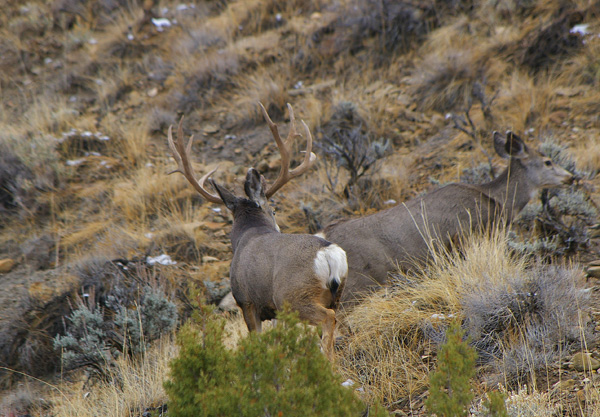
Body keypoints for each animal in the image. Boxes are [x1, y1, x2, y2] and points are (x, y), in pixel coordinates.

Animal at [168, 102, 346, 360]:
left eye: (274, 211)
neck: (248, 234)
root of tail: (329, 253)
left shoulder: (247, 303)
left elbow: (258, 342)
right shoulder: (274, 314)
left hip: (293, 297)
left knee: (327, 319)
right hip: (336, 295)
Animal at [322, 130, 576, 302]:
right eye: (547, 161)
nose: (571, 177)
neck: (499, 202)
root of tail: (325, 236)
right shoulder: (466, 236)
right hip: (359, 282)